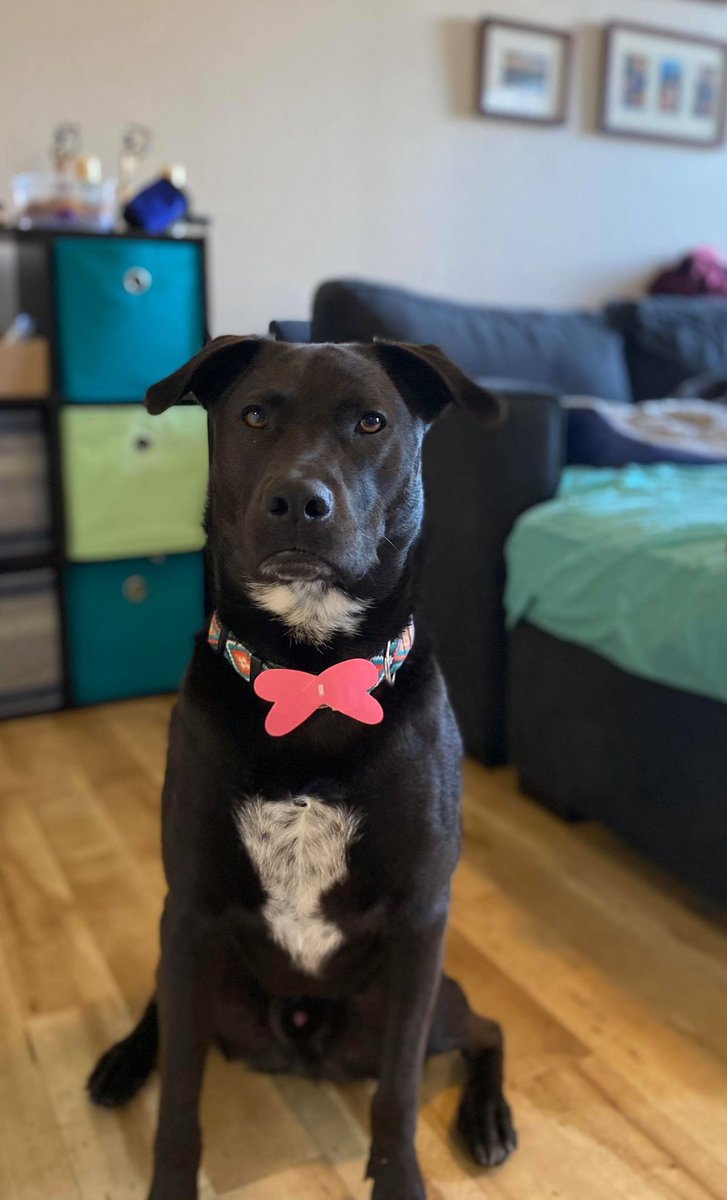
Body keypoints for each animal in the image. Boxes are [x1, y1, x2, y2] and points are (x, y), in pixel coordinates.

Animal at [86, 336, 517, 1200]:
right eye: (254, 416)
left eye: (372, 422)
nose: (296, 501)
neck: (311, 678)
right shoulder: (191, 910)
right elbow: (181, 1097)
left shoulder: (421, 922)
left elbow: (397, 1093)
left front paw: (399, 1179)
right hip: (203, 969)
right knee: (162, 1008)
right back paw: (123, 1060)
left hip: (424, 1001)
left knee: (484, 1029)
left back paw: (486, 1117)